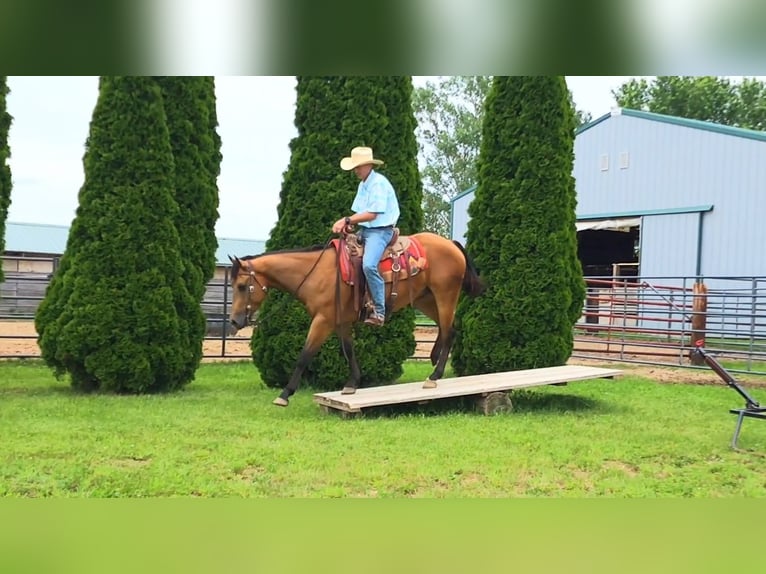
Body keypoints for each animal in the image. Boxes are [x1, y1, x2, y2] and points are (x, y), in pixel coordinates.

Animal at [228, 231, 488, 410]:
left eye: (241, 286)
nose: (234, 321)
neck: (316, 272)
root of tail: (451, 244)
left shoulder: (323, 321)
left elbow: (304, 356)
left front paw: (284, 395)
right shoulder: (340, 322)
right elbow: (349, 350)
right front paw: (352, 383)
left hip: (445, 295)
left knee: (449, 331)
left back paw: (434, 377)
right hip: (426, 299)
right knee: (449, 329)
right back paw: (434, 364)